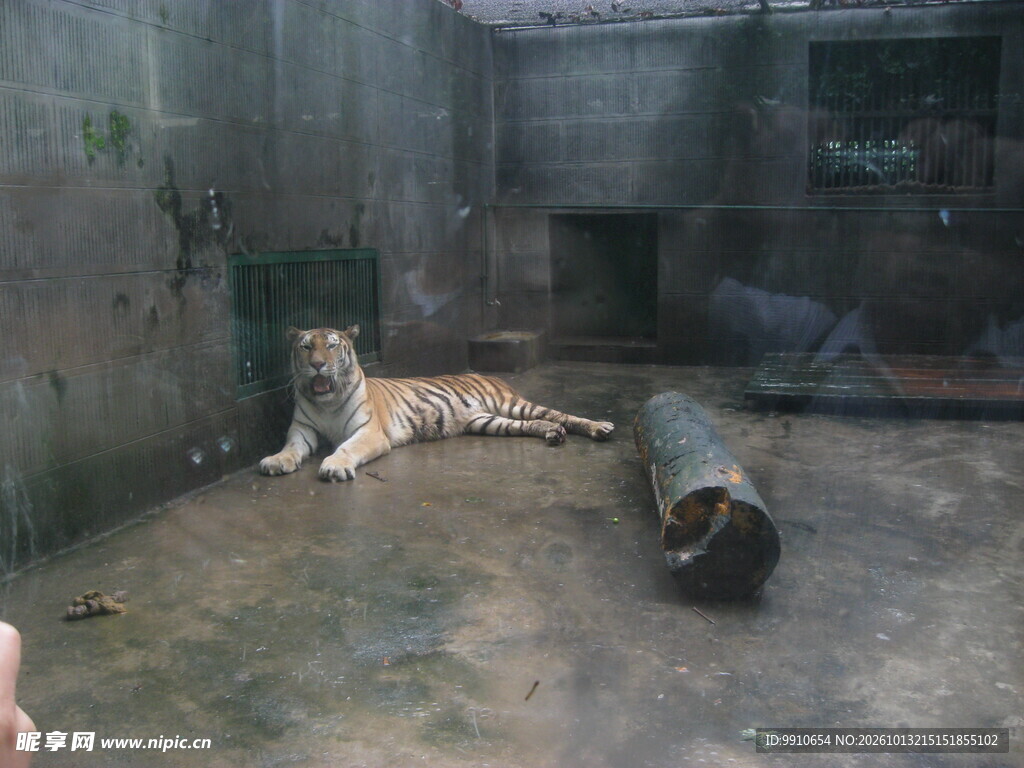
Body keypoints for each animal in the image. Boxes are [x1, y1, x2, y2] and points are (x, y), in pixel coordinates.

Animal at [259, 325, 615, 482]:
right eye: (306, 346)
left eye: (332, 346)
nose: (318, 365)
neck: (327, 402)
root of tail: (494, 377)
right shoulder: (302, 430)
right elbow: (290, 448)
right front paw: (275, 461)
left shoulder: (369, 432)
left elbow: (346, 447)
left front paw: (334, 465)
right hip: (489, 421)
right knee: (534, 424)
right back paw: (553, 434)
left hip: (513, 405)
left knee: (562, 414)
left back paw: (600, 428)